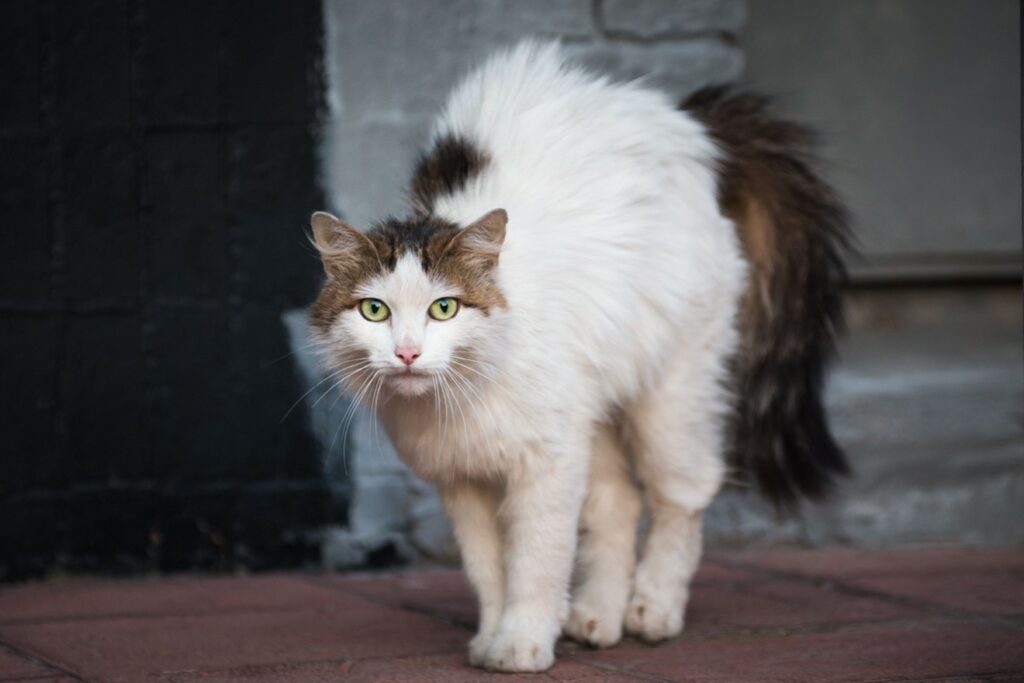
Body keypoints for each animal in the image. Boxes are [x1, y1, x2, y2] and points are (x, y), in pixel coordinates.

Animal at [305, 41, 847, 671]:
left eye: (445, 309)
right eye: (374, 310)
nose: (409, 353)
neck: (458, 398)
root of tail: (687, 125)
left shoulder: (548, 462)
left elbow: (536, 561)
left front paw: (522, 643)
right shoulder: (463, 481)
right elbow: (488, 570)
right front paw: (493, 637)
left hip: (672, 393)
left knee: (683, 493)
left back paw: (654, 608)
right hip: (595, 411)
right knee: (619, 502)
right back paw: (597, 616)